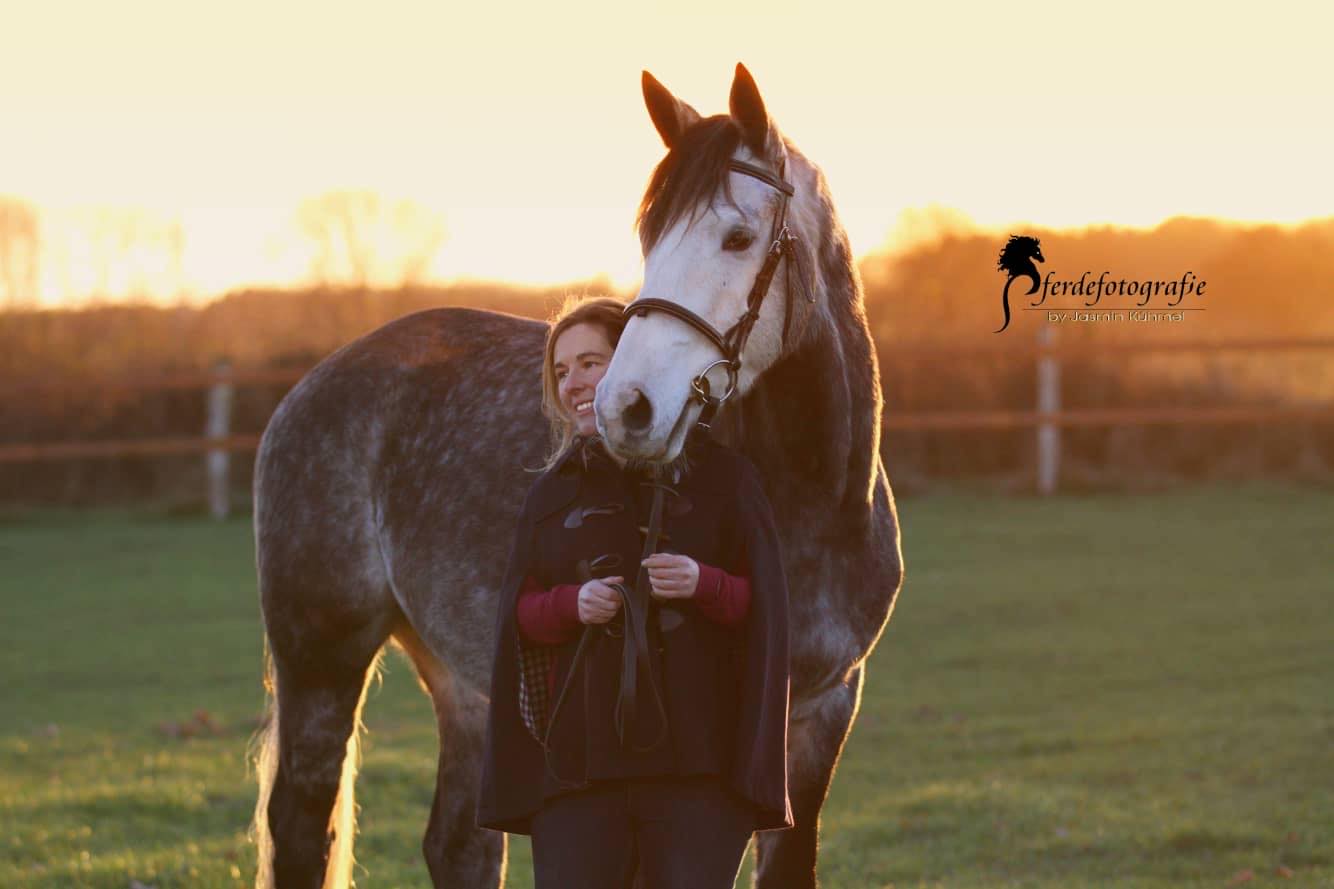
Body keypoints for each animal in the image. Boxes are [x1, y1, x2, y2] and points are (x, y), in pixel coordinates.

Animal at [250, 64, 907, 886]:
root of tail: (307, 390)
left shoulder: (821, 710)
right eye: (650, 238)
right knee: (302, 828)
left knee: (461, 844)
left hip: (469, 682)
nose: (628, 406)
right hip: (323, 657)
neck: (812, 506)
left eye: (738, 237)